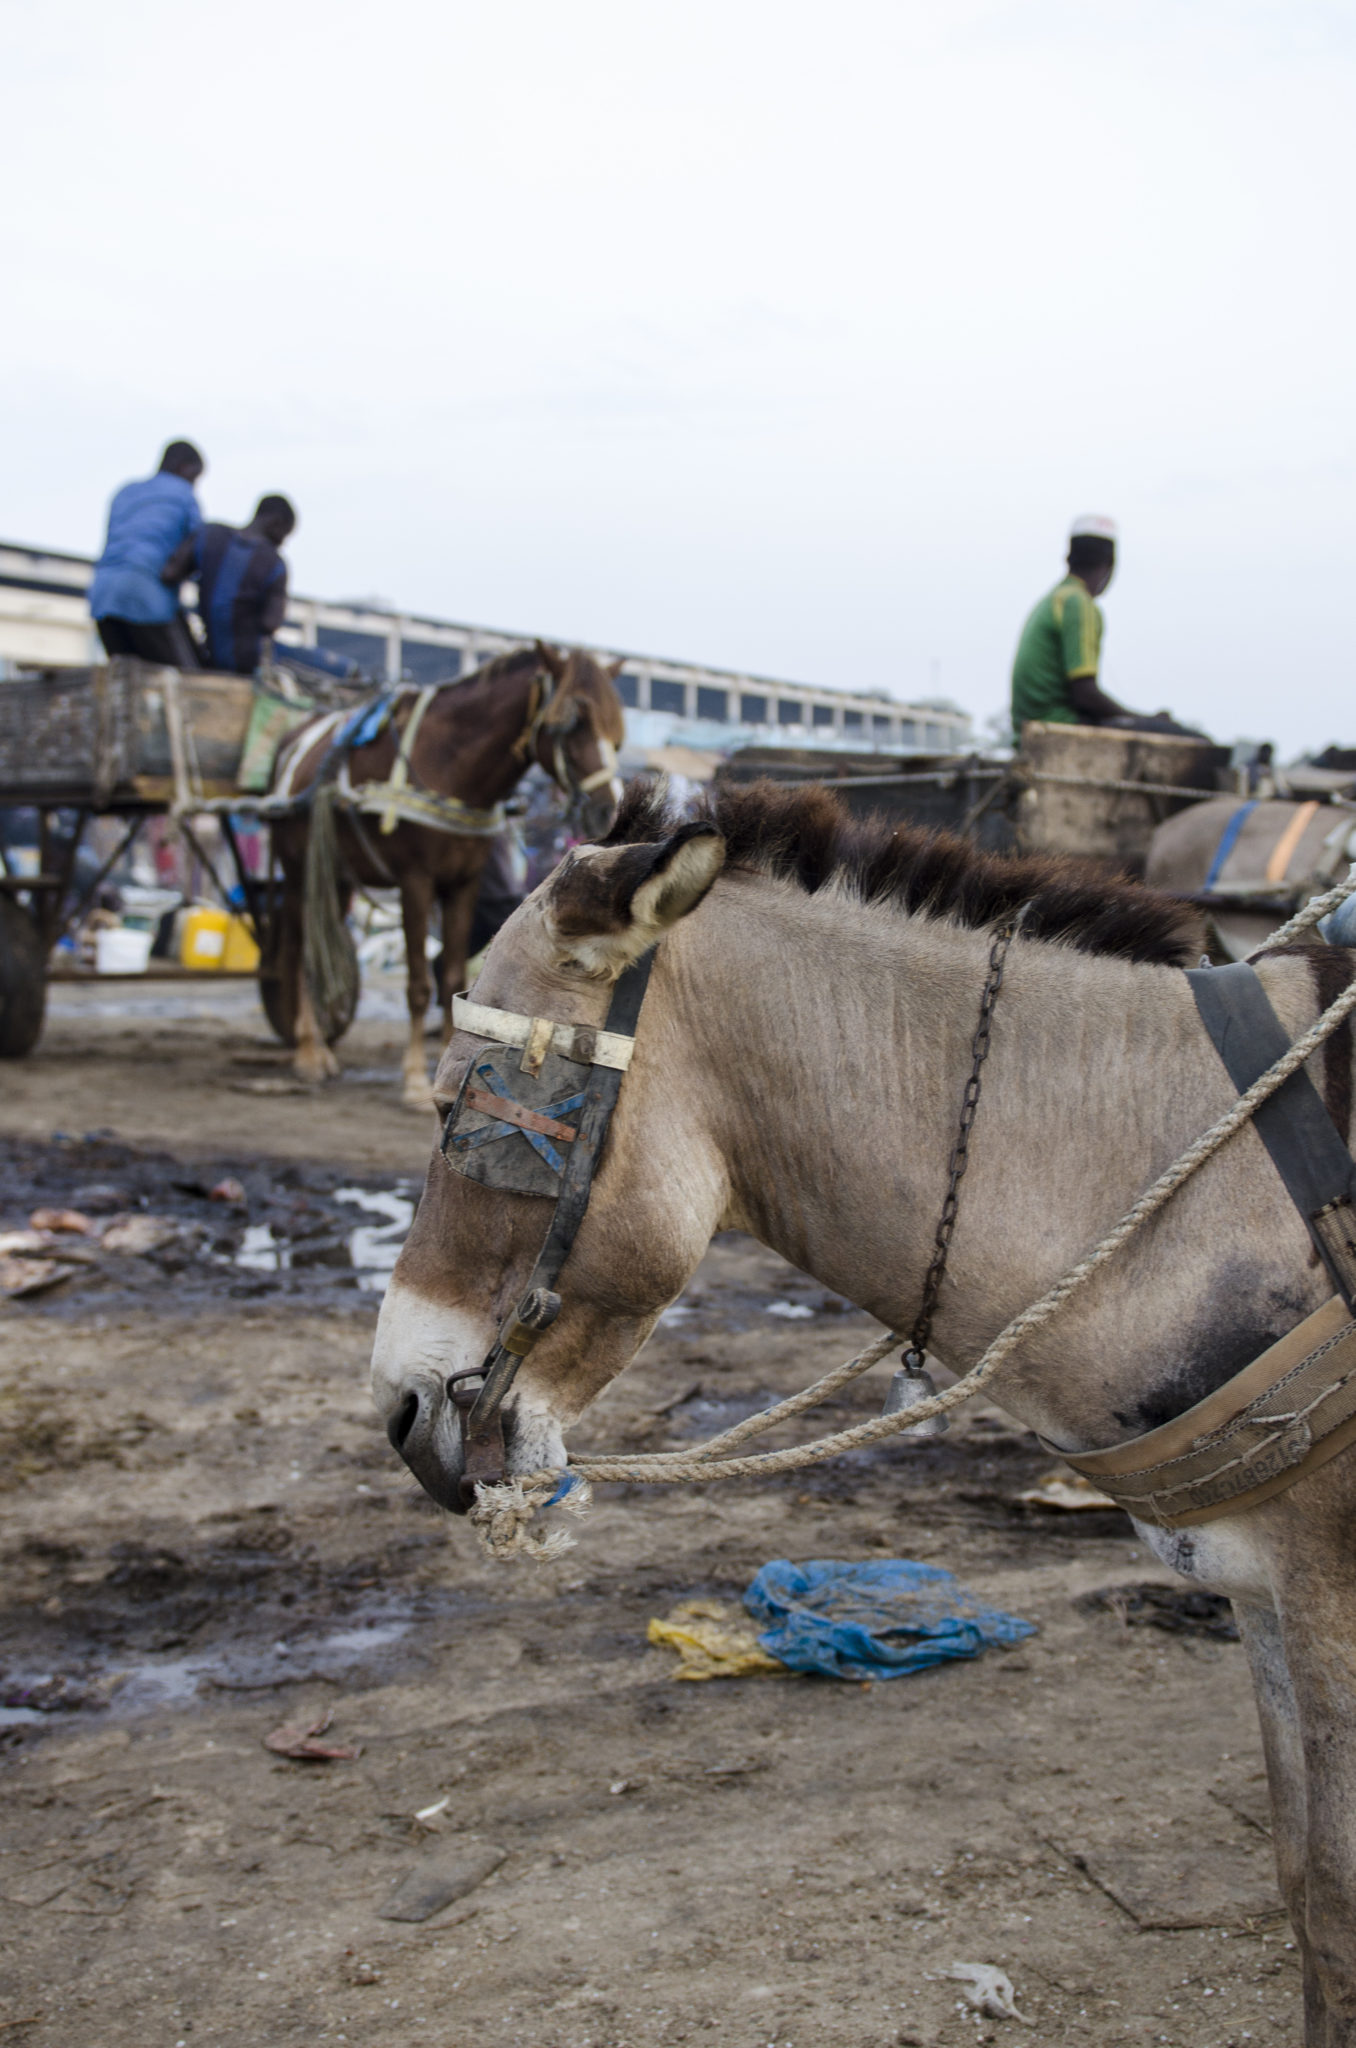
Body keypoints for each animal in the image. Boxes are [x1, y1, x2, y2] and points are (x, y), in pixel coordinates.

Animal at [266, 647, 626, 1105]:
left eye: (617, 733)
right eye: (572, 722)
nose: (608, 808)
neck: (449, 764)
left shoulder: (463, 884)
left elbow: (454, 976)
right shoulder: (415, 881)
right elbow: (419, 985)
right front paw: (414, 1078)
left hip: (334, 875)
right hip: (299, 870)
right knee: (298, 952)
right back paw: (309, 1052)